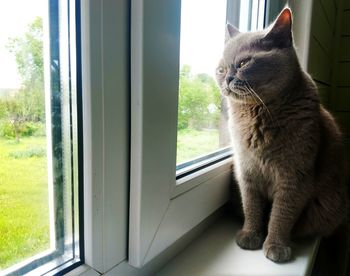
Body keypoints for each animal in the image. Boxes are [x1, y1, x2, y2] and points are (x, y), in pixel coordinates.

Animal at [216, 8, 348, 264]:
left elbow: (282, 214)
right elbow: (252, 206)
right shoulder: (246, 170)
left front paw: (276, 246)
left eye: (244, 62)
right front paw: (250, 235)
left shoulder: (295, 176)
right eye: (221, 69)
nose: (227, 78)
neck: (256, 114)